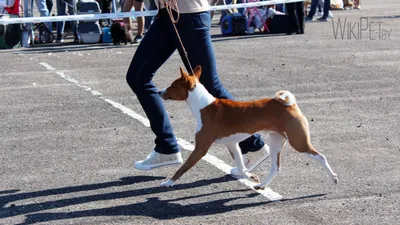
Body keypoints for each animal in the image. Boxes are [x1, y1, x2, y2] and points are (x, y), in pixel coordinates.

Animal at [158, 65, 340, 190]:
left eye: (172, 85)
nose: (159, 92)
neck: (204, 107)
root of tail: (291, 105)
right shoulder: (232, 144)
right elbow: (241, 166)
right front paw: (251, 177)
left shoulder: (201, 148)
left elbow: (183, 167)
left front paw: (168, 182)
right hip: (276, 141)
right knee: (275, 167)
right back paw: (262, 185)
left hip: (298, 142)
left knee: (321, 157)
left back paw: (333, 178)